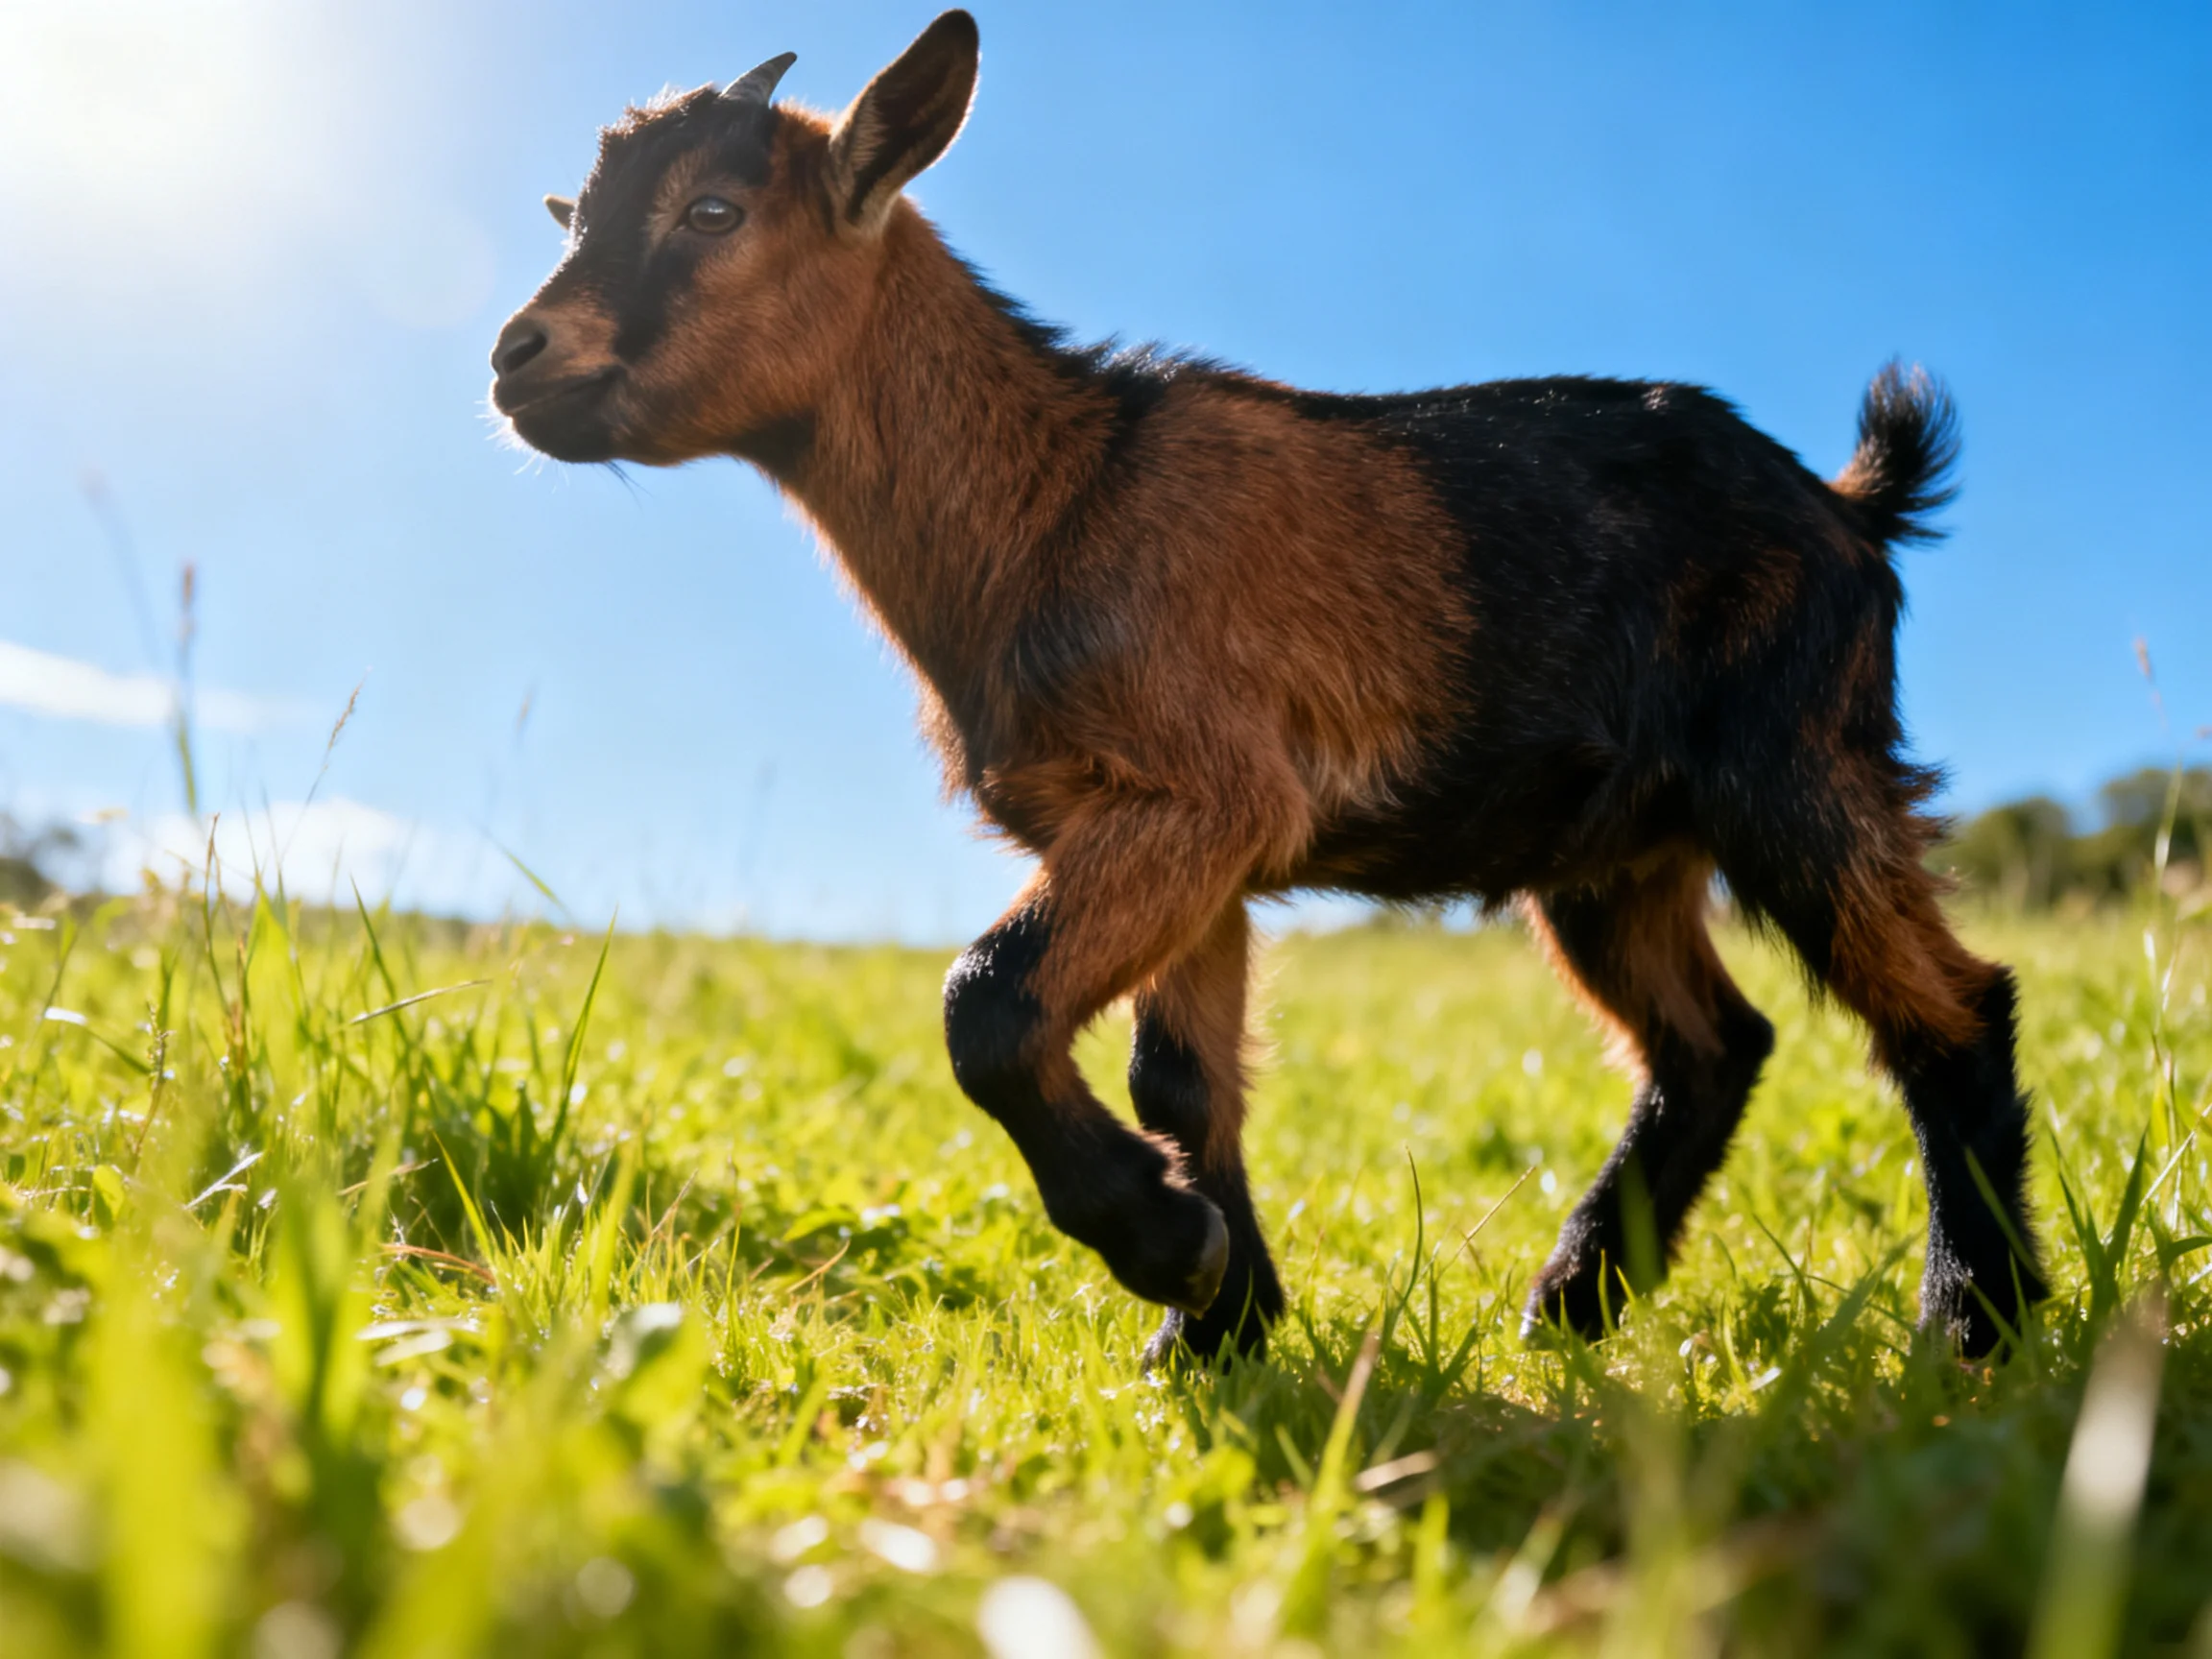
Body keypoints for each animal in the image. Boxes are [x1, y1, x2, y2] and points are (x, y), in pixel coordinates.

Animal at [491, 11, 2047, 1364]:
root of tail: (1849, 507)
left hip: (1796, 759)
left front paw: (1165, 1250)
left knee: (1949, 1010)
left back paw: (1974, 1321)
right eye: (574, 215)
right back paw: (1574, 1300)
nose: (516, 359)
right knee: (1716, 1042)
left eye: (712, 213)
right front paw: (1215, 1321)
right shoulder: (1176, 839)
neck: (1053, 497)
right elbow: (1181, 1079)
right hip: (1611, 851)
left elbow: (988, 1007)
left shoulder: (1203, 797)